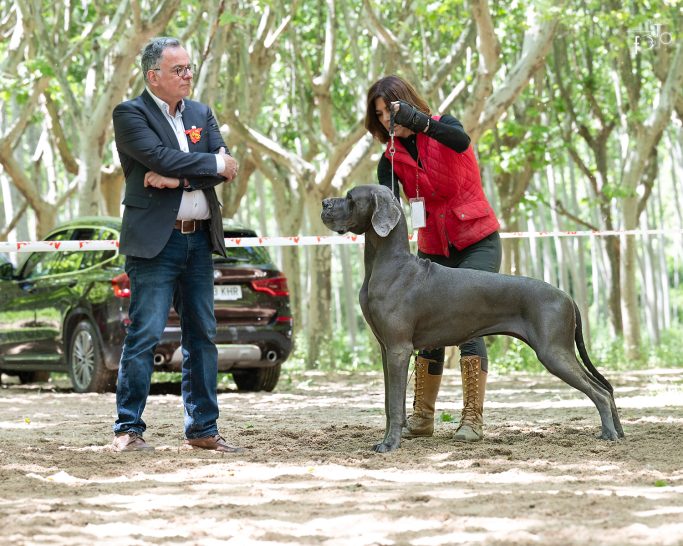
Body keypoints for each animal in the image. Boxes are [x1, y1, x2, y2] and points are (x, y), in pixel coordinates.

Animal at [320, 185, 624, 452]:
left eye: (350, 197)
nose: (324, 203)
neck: (387, 265)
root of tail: (567, 296)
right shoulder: (387, 350)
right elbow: (387, 402)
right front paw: (387, 438)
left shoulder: (398, 349)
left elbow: (395, 404)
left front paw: (390, 445)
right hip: (560, 351)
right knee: (605, 388)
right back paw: (619, 431)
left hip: (553, 352)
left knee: (598, 392)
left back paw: (608, 434)